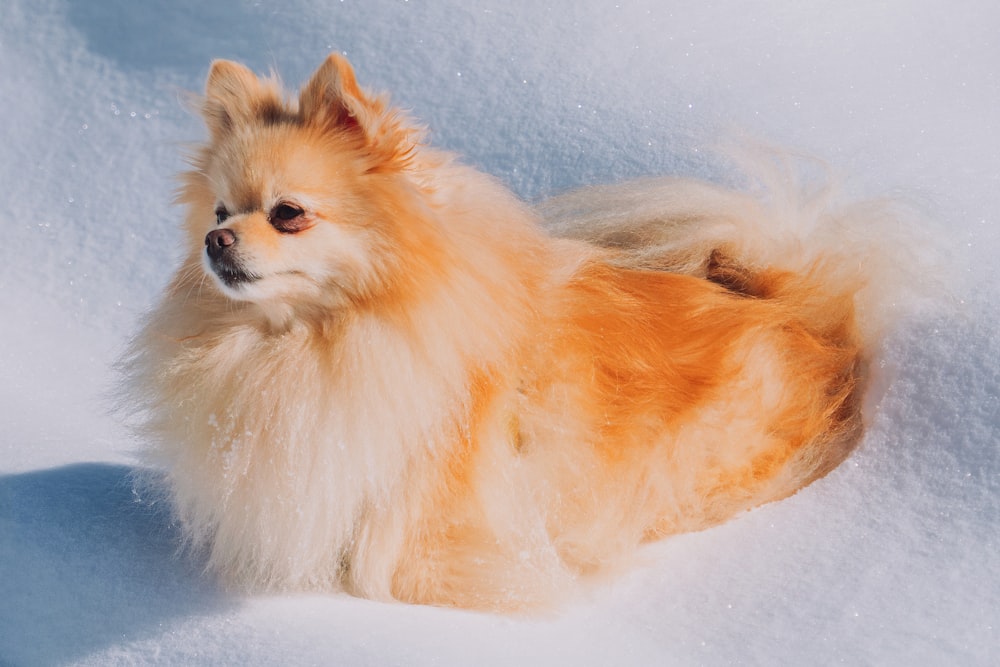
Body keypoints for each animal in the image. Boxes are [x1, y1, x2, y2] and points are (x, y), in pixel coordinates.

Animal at [121, 54, 896, 612]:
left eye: (288, 213)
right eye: (220, 211)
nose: (216, 241)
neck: (315, 342)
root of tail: (799, 305)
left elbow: (393, 575)